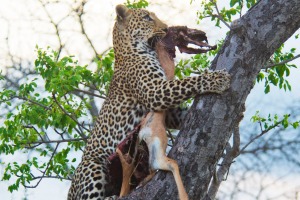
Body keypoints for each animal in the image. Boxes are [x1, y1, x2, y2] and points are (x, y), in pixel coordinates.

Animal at [68, 3, 231, 199]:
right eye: (147, 18)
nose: (166, 28)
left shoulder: (168, 110)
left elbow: (181, 111)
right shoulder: (155, 91)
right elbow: (187, 82)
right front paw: (217, 78)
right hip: (92, 166)